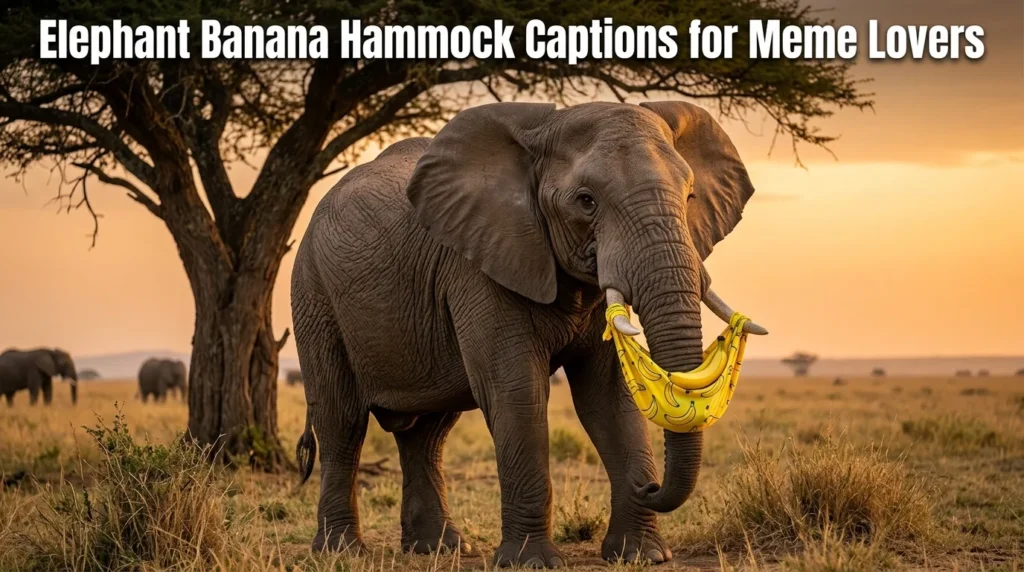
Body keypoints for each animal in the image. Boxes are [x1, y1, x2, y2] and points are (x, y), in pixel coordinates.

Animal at [291, 101, 765, 567]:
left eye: (689, 197)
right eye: (586, 201)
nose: (649, 487)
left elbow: (609, 398)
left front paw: (641, 556)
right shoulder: (479, 263)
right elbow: (517, 392)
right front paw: (530, 562)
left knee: (428, 433)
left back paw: (440, 548)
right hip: (313, 292)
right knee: (342, 420)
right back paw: (341, 551)